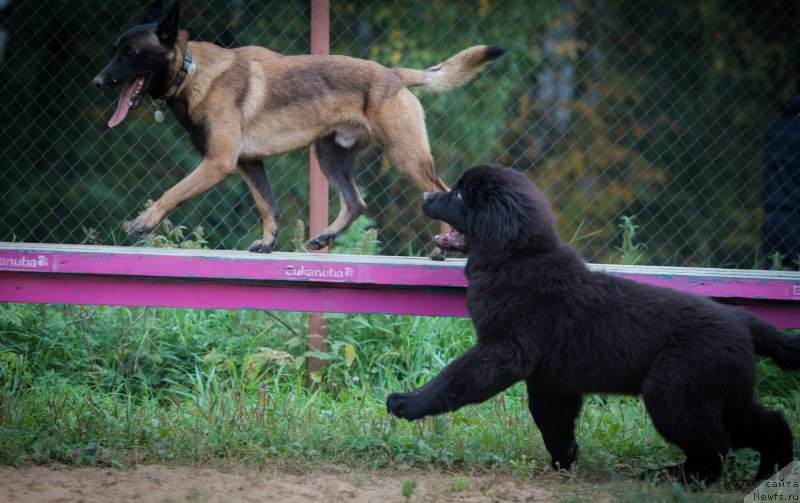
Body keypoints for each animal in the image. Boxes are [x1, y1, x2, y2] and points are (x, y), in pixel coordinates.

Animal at [90, 0, 504, 256]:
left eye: (130, 53)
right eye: (113, 49)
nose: (97, 81)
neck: (190, 71)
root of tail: (393, 74)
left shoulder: (218, 163)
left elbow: (173, 192)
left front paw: (144, 222)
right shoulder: (249, 164)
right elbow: (268, 206)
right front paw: (267, 243)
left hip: (405, 157)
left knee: (443, 193)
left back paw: (446, 248)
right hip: (329, 156)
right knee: (356, 202)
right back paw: (325, 237)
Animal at [384, 164, 796, 484]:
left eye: (457, 195)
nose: (425, 195)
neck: (516, 258)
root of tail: (743, 321)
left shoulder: (505, 350)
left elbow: (455, 377)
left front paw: (408, 402)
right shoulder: (552, 378)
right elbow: (552, 421)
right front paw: (565, 460)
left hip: (676, 391)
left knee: (714, 448)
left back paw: (672, 477)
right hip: (722, 393)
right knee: (769, 424)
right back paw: (770, 474)